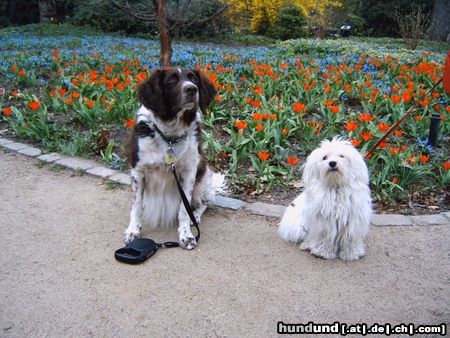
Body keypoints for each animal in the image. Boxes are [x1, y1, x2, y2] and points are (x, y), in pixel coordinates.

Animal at [124, 67, 224, 250]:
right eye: (171, 79)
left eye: (194, 78)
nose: (192, 89)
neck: (170, 136)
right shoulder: (138, 172)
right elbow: (136, 205)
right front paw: (133, 230)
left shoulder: (189, 173)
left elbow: (184, 210)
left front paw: (186, 235)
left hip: (202, 179)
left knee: (203, 204)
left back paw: (195, 217)